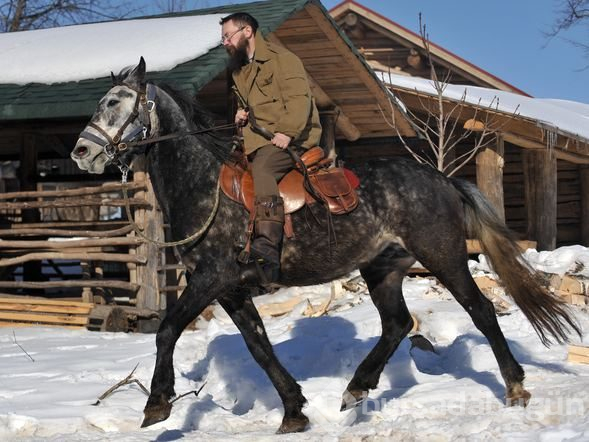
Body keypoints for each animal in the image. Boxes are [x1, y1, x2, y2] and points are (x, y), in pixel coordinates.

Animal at [70, 57, 580, 434]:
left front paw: (157, 403)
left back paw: (515, 387)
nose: (82, 151)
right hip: (383, 270)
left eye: (116, 102)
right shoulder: (231, 290)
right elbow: (259, 347)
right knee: (397, 324)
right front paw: (294, 410)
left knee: (481, 311)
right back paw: (357, 388)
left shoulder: (211, 278)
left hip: (444, 257)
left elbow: (167, 329)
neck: (203, 184)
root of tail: (443, 180)